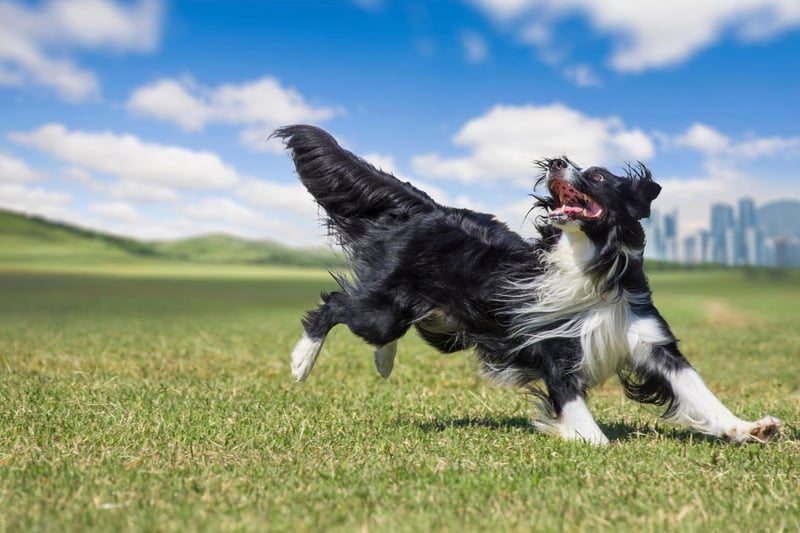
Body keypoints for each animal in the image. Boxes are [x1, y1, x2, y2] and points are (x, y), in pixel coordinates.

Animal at [276, 124, 780, 444]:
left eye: (598, 175)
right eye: (572, 164)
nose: (556, 160)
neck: (590, 266)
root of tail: (429, 209)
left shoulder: (651, 341)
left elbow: (698, 390)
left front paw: (747, 428)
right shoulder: (557, 352)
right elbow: (590, 431)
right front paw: (577, 436)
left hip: (436, 320)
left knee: (386, 327)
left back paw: (382, 362)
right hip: (382, 309)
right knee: (333, 305)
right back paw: (301, 362)